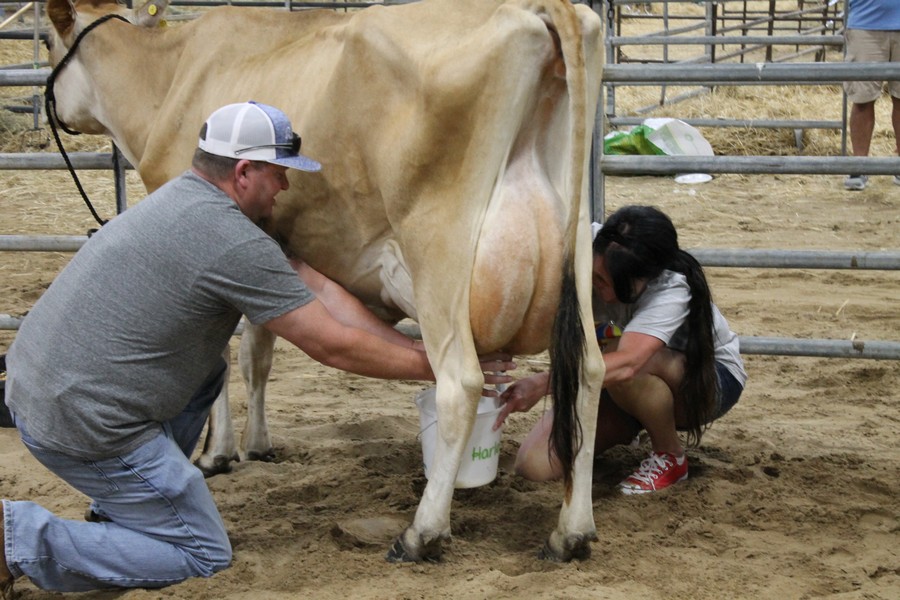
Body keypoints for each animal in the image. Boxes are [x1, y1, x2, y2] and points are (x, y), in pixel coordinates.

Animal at [42, 0, 604, 564]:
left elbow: (218, 358)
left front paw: (216, 453)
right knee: (588, 371)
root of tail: (535, 9)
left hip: (438, 249)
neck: (169, 75)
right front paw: (257, 445)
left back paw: (421, 533)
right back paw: (571, 532)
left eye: (45, 42)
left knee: (461, 382)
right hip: (576, 248)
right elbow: (257, 354)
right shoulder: (265, 246)